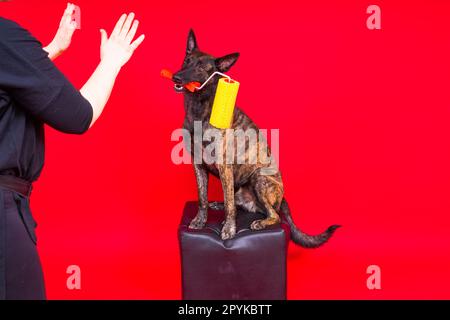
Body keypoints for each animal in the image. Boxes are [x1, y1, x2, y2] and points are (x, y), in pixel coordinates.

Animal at [171, 30, 338, 248]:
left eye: (200, 68)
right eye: (186, 61)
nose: (176, 76)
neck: (199, 108)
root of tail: (282, 199)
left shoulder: (224, 166)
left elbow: (230, 207)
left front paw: (229, 229)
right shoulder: (198, 165)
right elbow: (202, 198)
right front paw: (201, 220)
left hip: (259, 179)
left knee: (271, 214)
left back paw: (259, 222)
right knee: (236, 202)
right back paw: (219, 205)